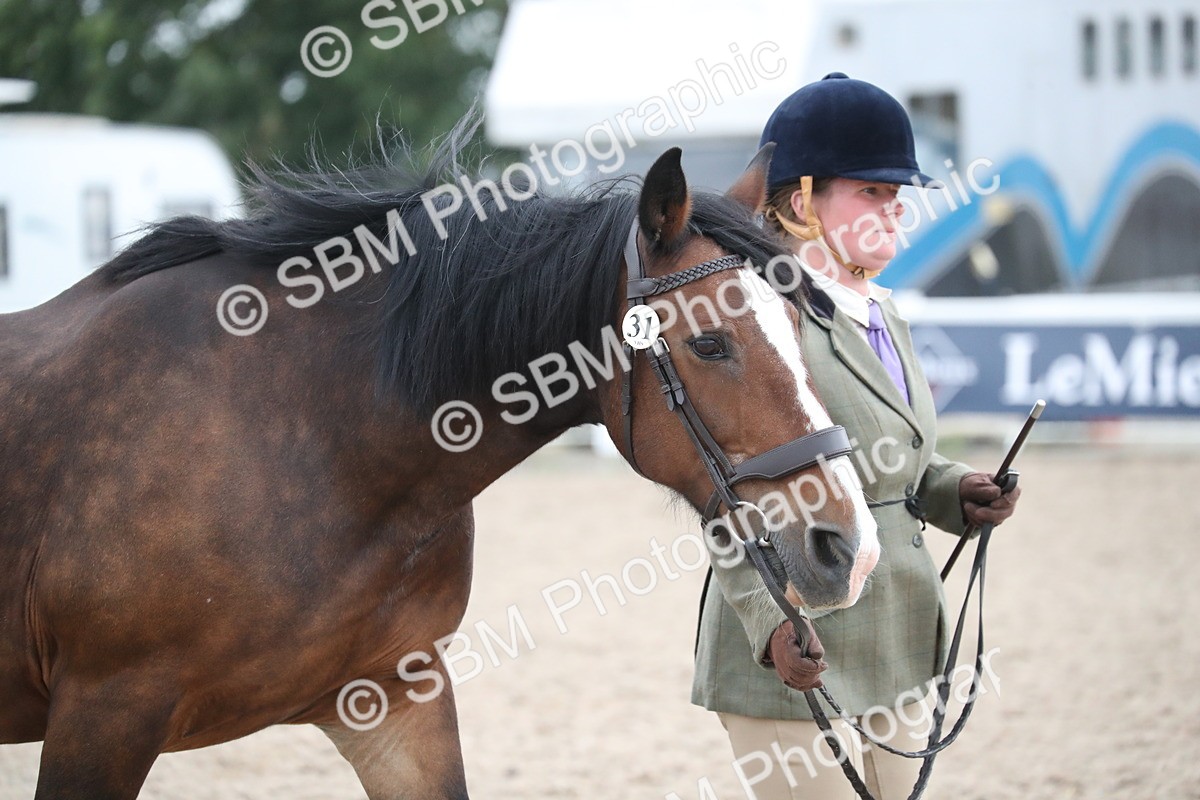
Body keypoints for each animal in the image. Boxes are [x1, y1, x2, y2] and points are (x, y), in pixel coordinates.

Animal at [0, 127, 879, 798]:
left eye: (800, 330)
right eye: (710, 344)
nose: (851, 548)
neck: (311, 444)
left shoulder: (395, 701)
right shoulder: (105, 714)